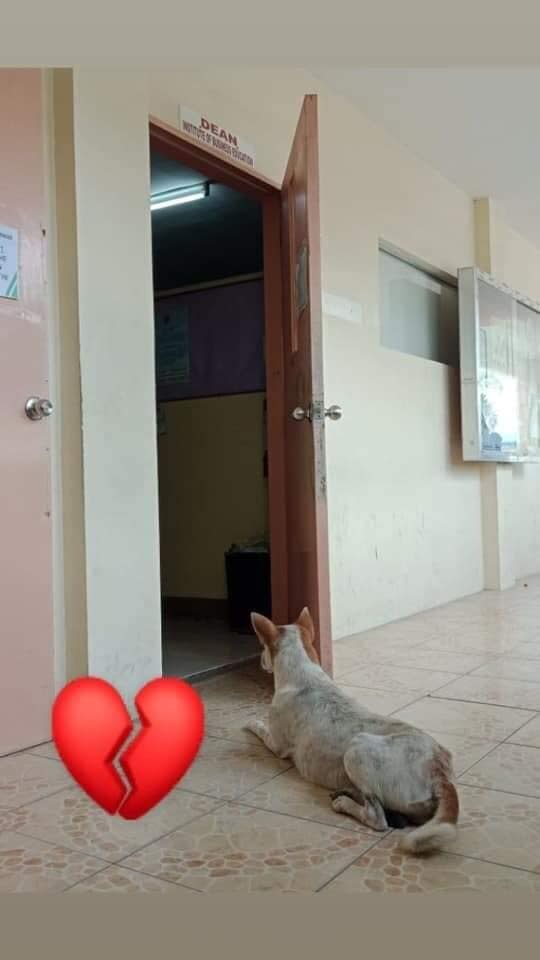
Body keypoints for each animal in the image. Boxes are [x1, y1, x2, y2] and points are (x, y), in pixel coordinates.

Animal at [245, 608, 460, 856]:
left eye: (263, 647)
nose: (260, 662)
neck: (304, 674)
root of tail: (439, 770)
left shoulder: (277, 744)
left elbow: (260, 728)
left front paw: (252, 722)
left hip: (356, 749)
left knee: (377, 817)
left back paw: (344, 803)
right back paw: (347, 793)